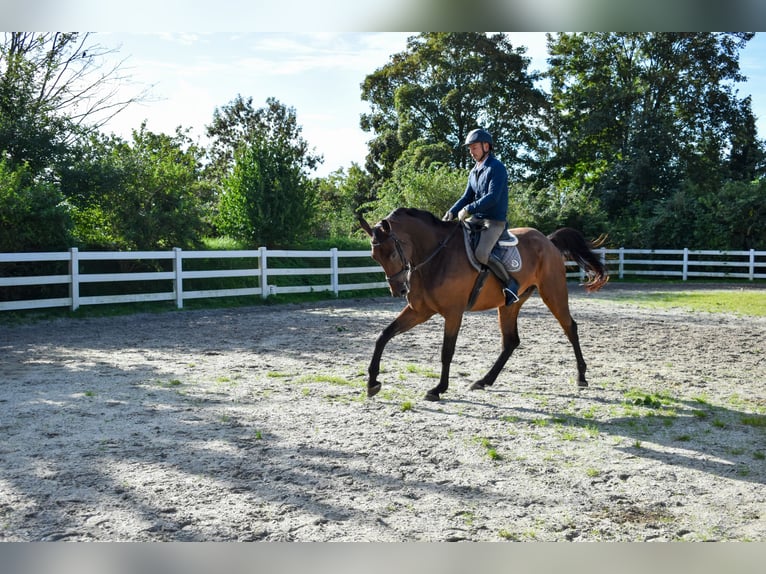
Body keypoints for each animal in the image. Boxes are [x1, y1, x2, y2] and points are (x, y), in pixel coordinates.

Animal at [358, 207, 609, 402]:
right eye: (374, 257)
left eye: (392, 254)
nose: (399, 290)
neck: (435, 255)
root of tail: (548, 241)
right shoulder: (419, 311)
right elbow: (384, 335)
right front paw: (372, 382)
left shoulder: (453, 313)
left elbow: (447, 351)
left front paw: (438, 389)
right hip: (509, 305)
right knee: (511, 341)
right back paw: (484, 381)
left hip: (553, 293)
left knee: (570, 328)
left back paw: (581, 377)